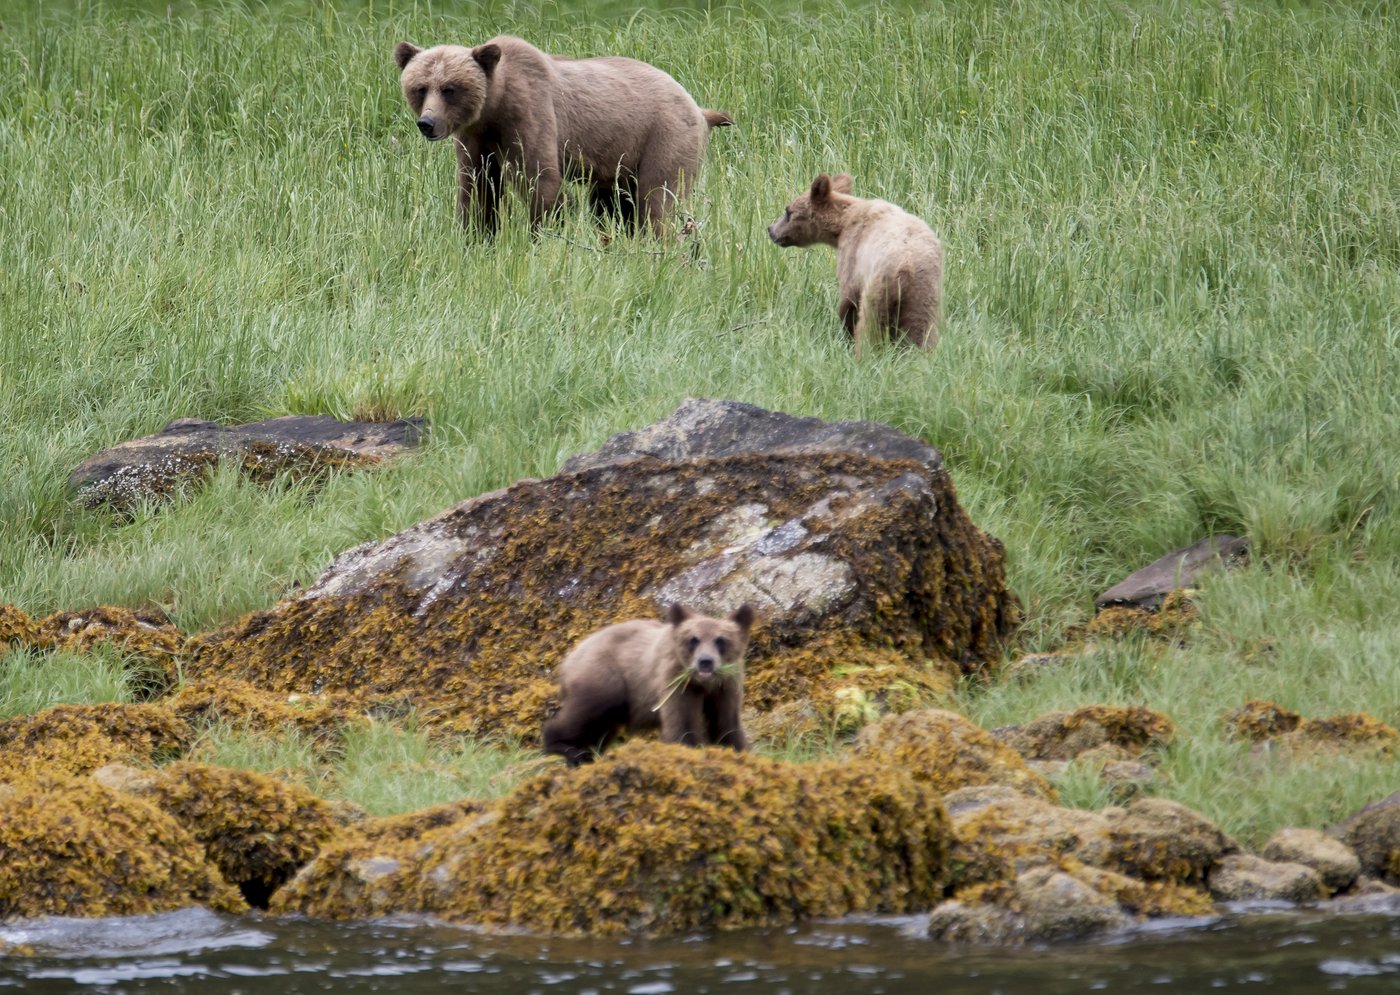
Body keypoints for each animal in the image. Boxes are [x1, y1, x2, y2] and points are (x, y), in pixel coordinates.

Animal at [393, 36, 733, 236]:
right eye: (420, 87)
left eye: (449, 89)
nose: (427, 123)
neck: (494, 106)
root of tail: (698, 107)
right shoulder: (475, 138)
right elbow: (478, 187)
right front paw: (477, 236)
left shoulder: (530, 113)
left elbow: (540, 179)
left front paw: (543, 235)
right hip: (621, 160)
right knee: (615, 205)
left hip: (665, 134)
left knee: (658, 199)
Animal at [541, 603, 754, 765]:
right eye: (693, 639)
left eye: (721, 640)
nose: (705, 662)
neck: (703, 685)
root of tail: (569, 658)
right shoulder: (675, 683)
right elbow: (681, 722)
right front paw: (686, 749)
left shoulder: (725, 687)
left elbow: (726, 723)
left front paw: (736, 749)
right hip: (605, 680)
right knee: (583, 715)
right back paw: (565, 748)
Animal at [768, 173, 944, 354]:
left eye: (788, 211)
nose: (771, 229)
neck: (842, 224)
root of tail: (906, 266)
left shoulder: (852, 252)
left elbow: (848, 297)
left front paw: (845, 334)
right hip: (925, 291)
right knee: (921, 328)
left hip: (878, 287)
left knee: (870, 325)